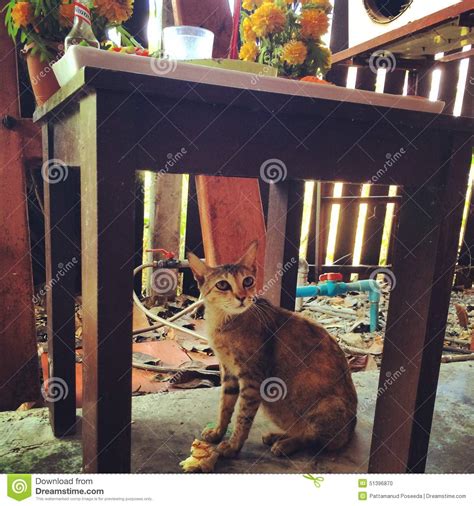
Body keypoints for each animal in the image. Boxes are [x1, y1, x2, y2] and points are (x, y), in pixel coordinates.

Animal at [187, 241, 358, 458]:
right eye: (223, 285)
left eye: (248, 281)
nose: (242, 297)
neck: (223, 322)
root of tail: (352, 429)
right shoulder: (228, 373)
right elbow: (224, 407)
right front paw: (218, 432)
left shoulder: (252, 379)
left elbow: (243, 416)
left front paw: (233, 445)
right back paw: (277, 436)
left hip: (325, 406)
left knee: (313, 439)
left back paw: (285, 445)